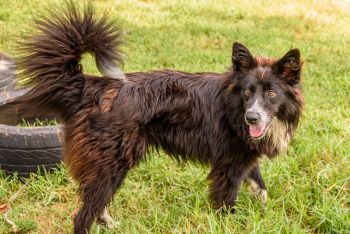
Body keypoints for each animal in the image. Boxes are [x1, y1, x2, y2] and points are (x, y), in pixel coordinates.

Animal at [14, 2, 304, 234]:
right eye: (247, 92)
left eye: (271, 93)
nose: (252, 118)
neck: (233, 105)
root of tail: (95, 86)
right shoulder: (229, 166)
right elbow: (226, 204)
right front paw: (230, 224)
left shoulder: (243, 156)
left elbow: (260, 187)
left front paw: (264, 213)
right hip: (112, 162)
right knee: (83, 216)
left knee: (94, 203)